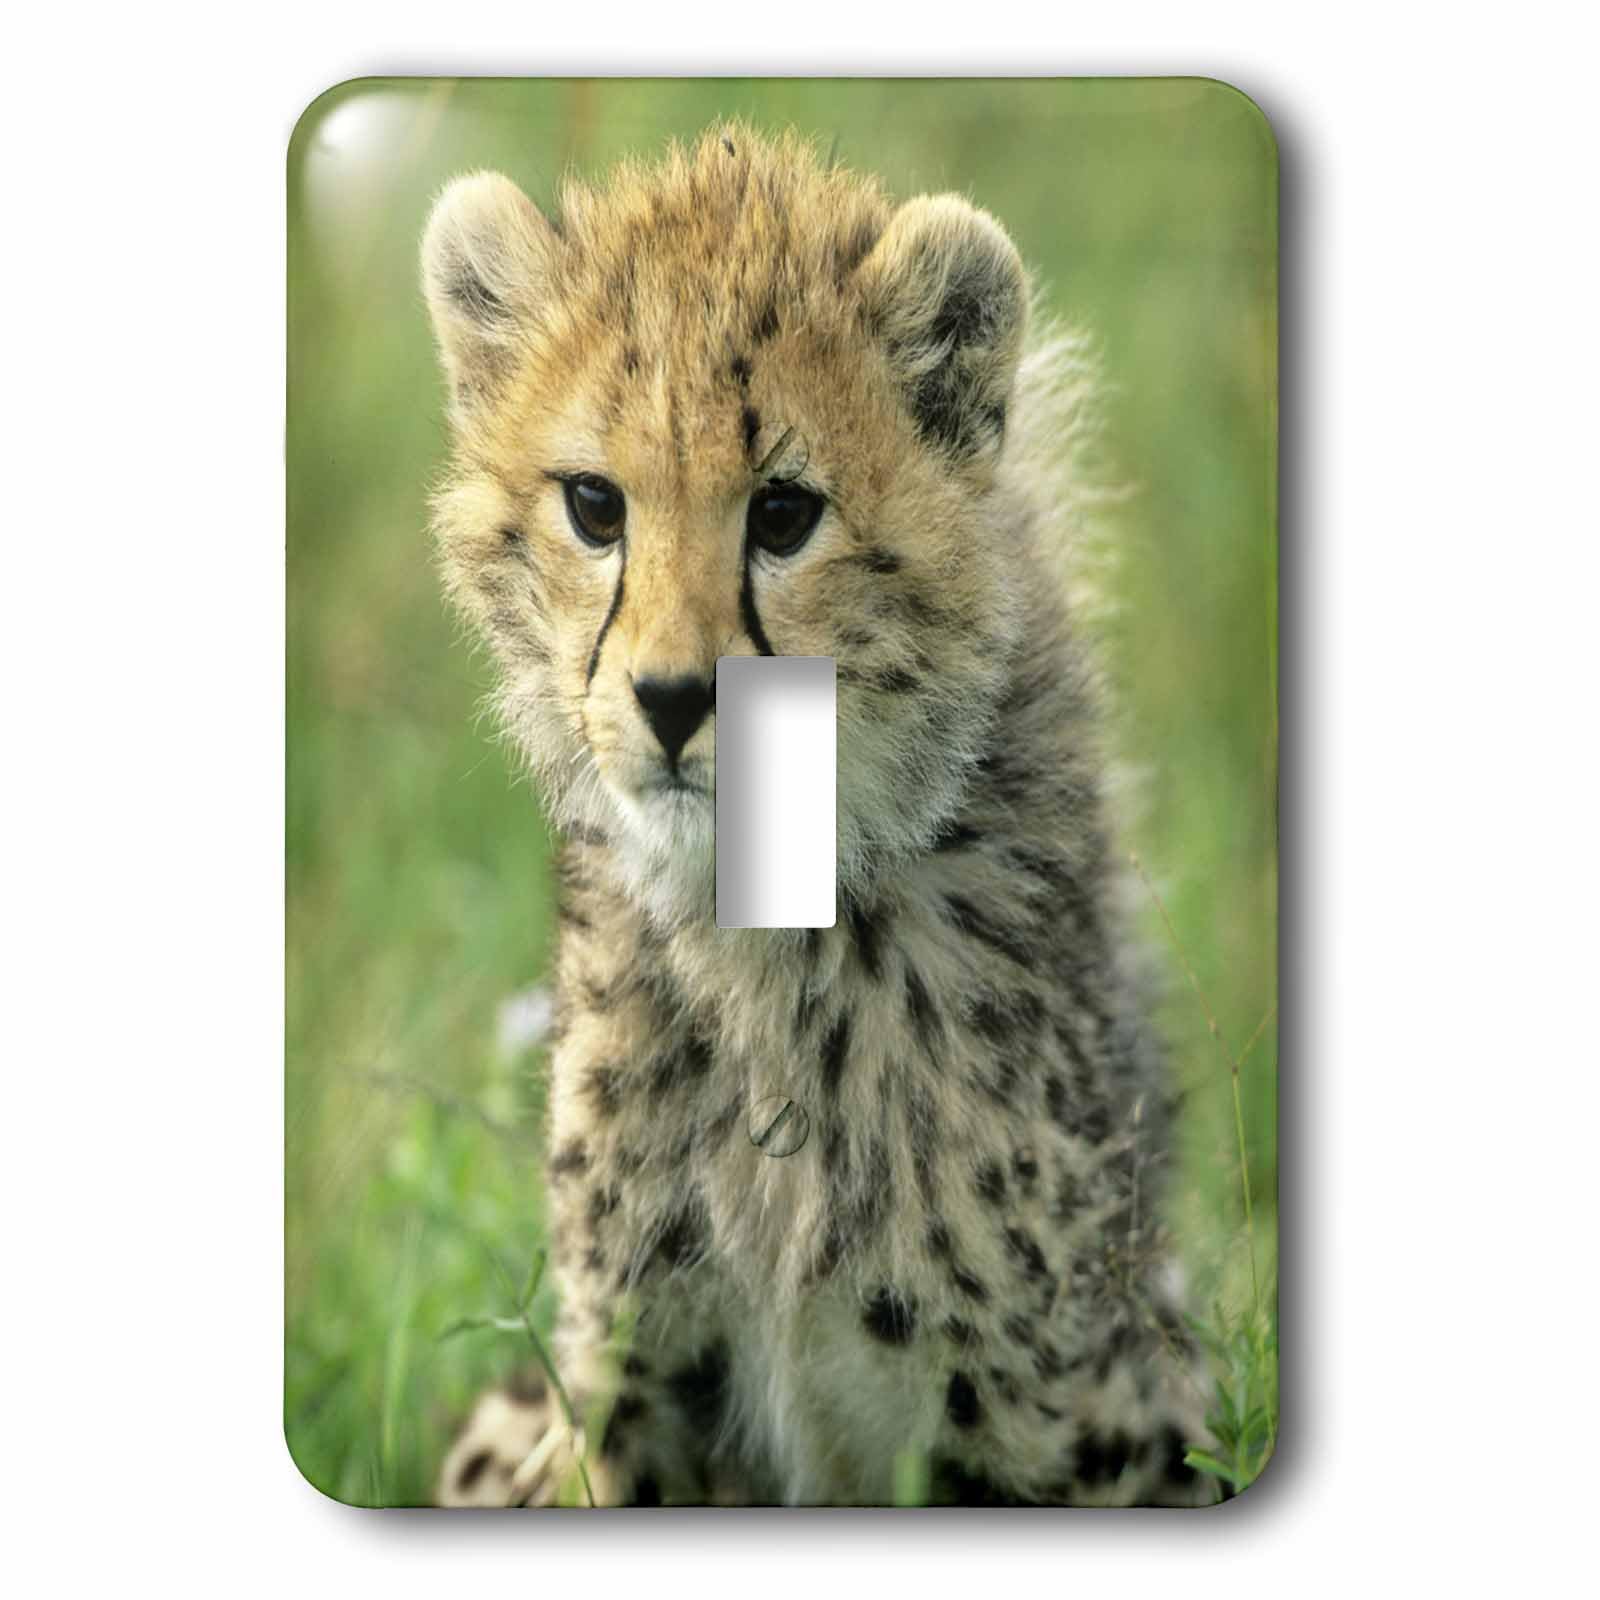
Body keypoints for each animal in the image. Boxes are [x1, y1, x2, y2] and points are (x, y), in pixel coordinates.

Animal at [421, 124, 1221, 1507]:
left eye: (785, 513)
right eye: (594, 505)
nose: (673, 700)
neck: (766, 936)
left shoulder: (1057, 1427)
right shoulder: (632, 1392)